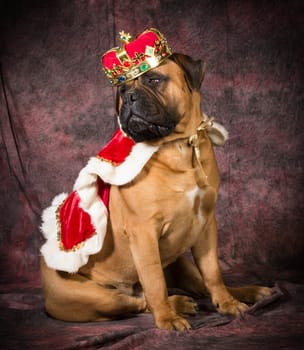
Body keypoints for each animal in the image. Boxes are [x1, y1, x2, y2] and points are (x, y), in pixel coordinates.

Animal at [39, 51, 270, 330]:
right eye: (122, 90)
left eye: (154, 79)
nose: (129, 97)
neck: (178, 145)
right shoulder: (144, 233)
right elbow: (154, 281)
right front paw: (168, 318)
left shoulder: (206, 225)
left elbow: (213, 271)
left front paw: (227, 303)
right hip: (97, 297)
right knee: (139, 301)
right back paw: (176, 305)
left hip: (182, 263)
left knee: (200, 284)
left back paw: (247, 292)